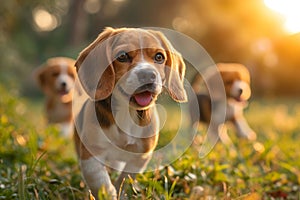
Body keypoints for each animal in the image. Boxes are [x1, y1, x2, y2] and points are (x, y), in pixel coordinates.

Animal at [73, 27, 188, 198]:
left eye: (159, 57)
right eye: (122, 56)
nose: (147, 74)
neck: (127, 112)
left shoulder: (141, 156)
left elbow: (125, 178)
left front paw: (121, 192)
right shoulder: (91, 155)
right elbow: (99, 180)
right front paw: (108, 194)